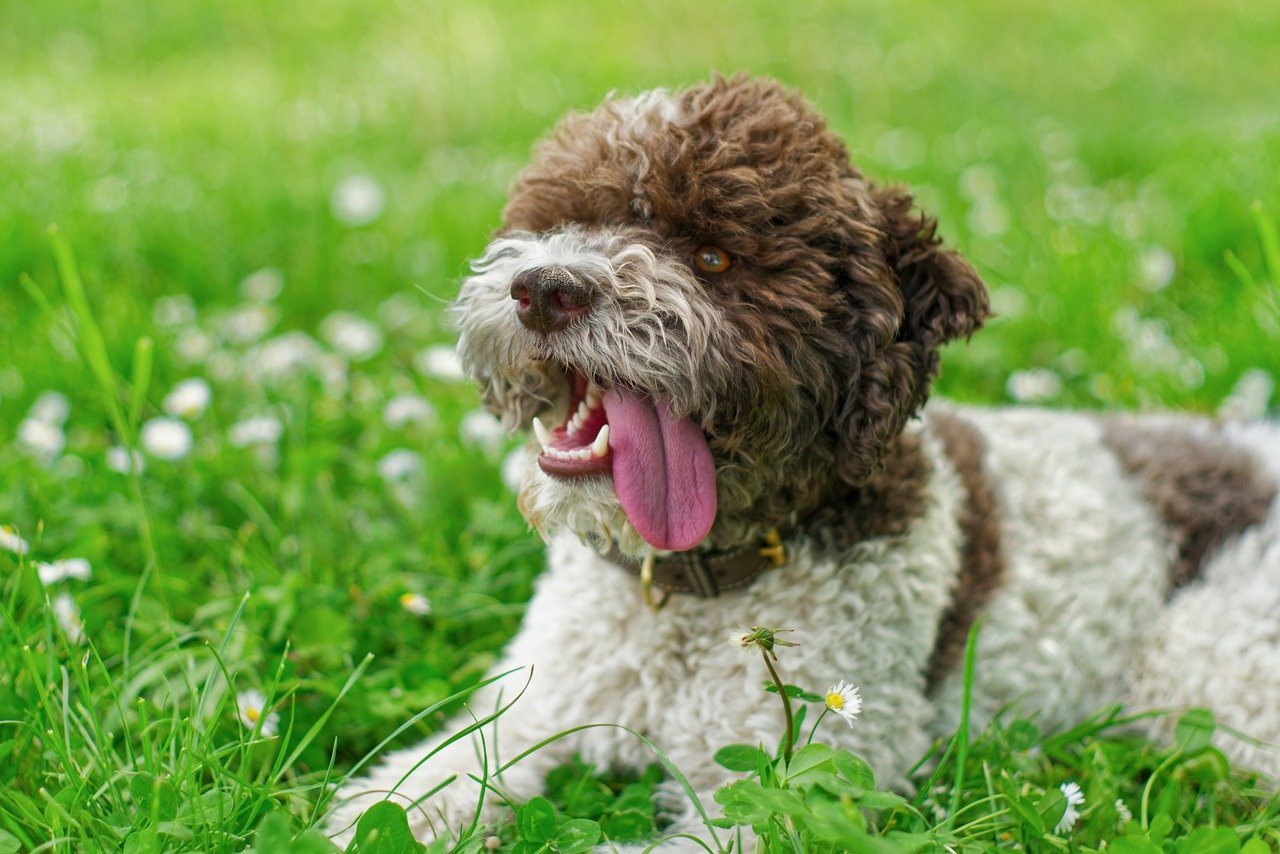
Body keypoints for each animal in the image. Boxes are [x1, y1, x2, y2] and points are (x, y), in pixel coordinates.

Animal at [330, 75, 1280, 850]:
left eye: (712, 254)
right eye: (560, 219)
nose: (543, 289)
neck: (692, 594)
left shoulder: (792, 789)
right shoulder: (541, 707)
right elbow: (424, 785)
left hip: (1217, 678)